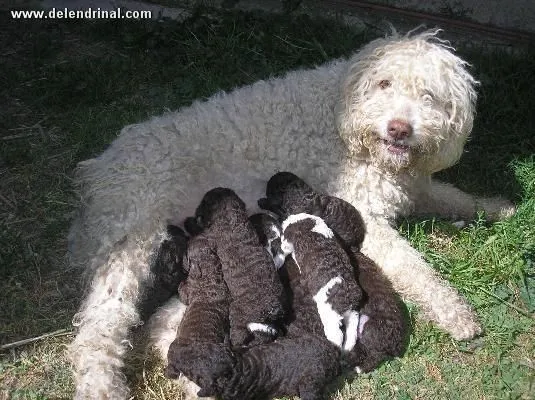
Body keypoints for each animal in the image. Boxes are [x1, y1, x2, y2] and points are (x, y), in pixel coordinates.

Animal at [67, 28, 516, 400]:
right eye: (384, 83)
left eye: (429, 96)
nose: (399, 129)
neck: (344, 117)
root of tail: (99, 168)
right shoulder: (364, 215)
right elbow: (415, 268)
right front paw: (455, 312)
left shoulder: (418, 186)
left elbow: (457, 197)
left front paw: (500, 207)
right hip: (130, 242)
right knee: (100, 328)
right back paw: (102, 385)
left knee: (158, 326)